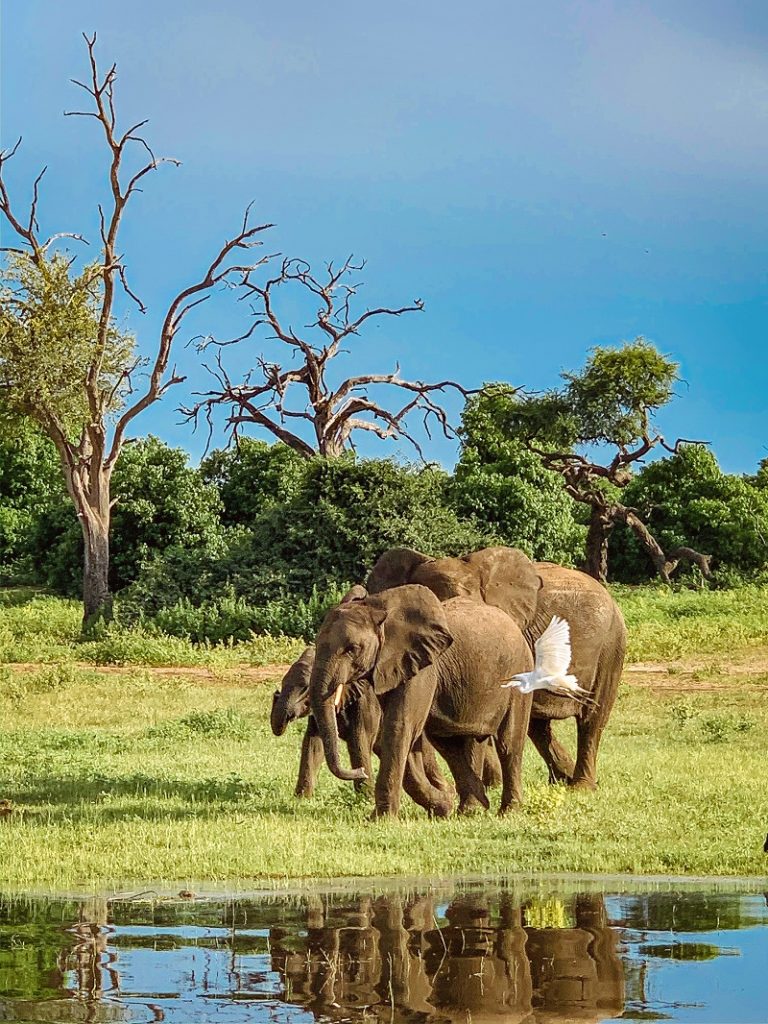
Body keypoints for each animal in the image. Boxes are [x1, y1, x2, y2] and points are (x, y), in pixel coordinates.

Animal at [307, 585, 536, 815]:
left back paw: (508, 811)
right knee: (452, 745)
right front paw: (443, 807)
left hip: (519, 671)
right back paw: (471, 809)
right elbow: (401, 734)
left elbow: (400, 727)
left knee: (508, 743)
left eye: (352, 649)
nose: (361, 770)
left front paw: (381, 818)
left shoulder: (423, 667)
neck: (377, 606)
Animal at [366, 544, 626, 790]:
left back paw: (581, 786)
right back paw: (563, 779)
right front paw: (489, 784)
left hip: (611, 643)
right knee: (538, 726)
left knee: (591, 719)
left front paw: (488, 784)